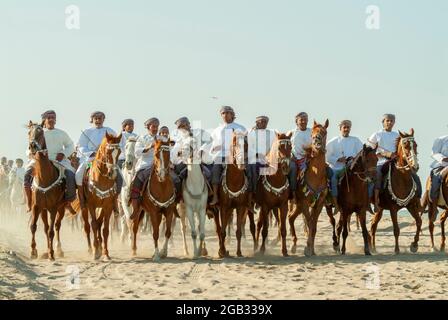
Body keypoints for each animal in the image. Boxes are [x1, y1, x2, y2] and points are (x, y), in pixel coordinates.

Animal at [26, 122, 67, 260]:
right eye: (29, 132)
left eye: (40, 132)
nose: (32, 146)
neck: (45, 178)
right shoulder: (36, 206)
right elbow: (33, 227)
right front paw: (33, 251)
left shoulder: (53, 207)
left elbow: (51, 231)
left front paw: (51, 253)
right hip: (43, 210)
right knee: (46, 227)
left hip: (61, 208)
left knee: (57, 226)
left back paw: (58, 250)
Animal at [79, 132, 121, 260]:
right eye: (107, 152)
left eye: (119, 152)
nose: (113, 173)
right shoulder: (91, 205)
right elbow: (93, 225)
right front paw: (95, 252)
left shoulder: (108, 206)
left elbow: (105, 229)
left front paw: (105, 253)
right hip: (84, 207)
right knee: (87, 226)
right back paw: (91, 249)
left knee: (99, 223)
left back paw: (99, 247)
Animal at [214, 130, 254, 258]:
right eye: (235, 143)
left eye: (246, 145)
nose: (242, 164)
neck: (234, 181)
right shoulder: (223, 207)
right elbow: (222, 231)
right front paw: (221, 251)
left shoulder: (240, 207)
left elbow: (239, 231)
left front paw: (239, 252)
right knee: (221, 227)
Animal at [288, 120, 330, 258]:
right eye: (312, 133)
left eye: (324, 132)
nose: (317, 141)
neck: (315, 175)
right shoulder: (305, 203)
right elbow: (310, 223)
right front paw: (307, 248)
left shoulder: (319, 203)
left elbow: (314, 225)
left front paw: (312, 249)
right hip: (296, 203)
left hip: (299, 205)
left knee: (291, 217)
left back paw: (294, 244)